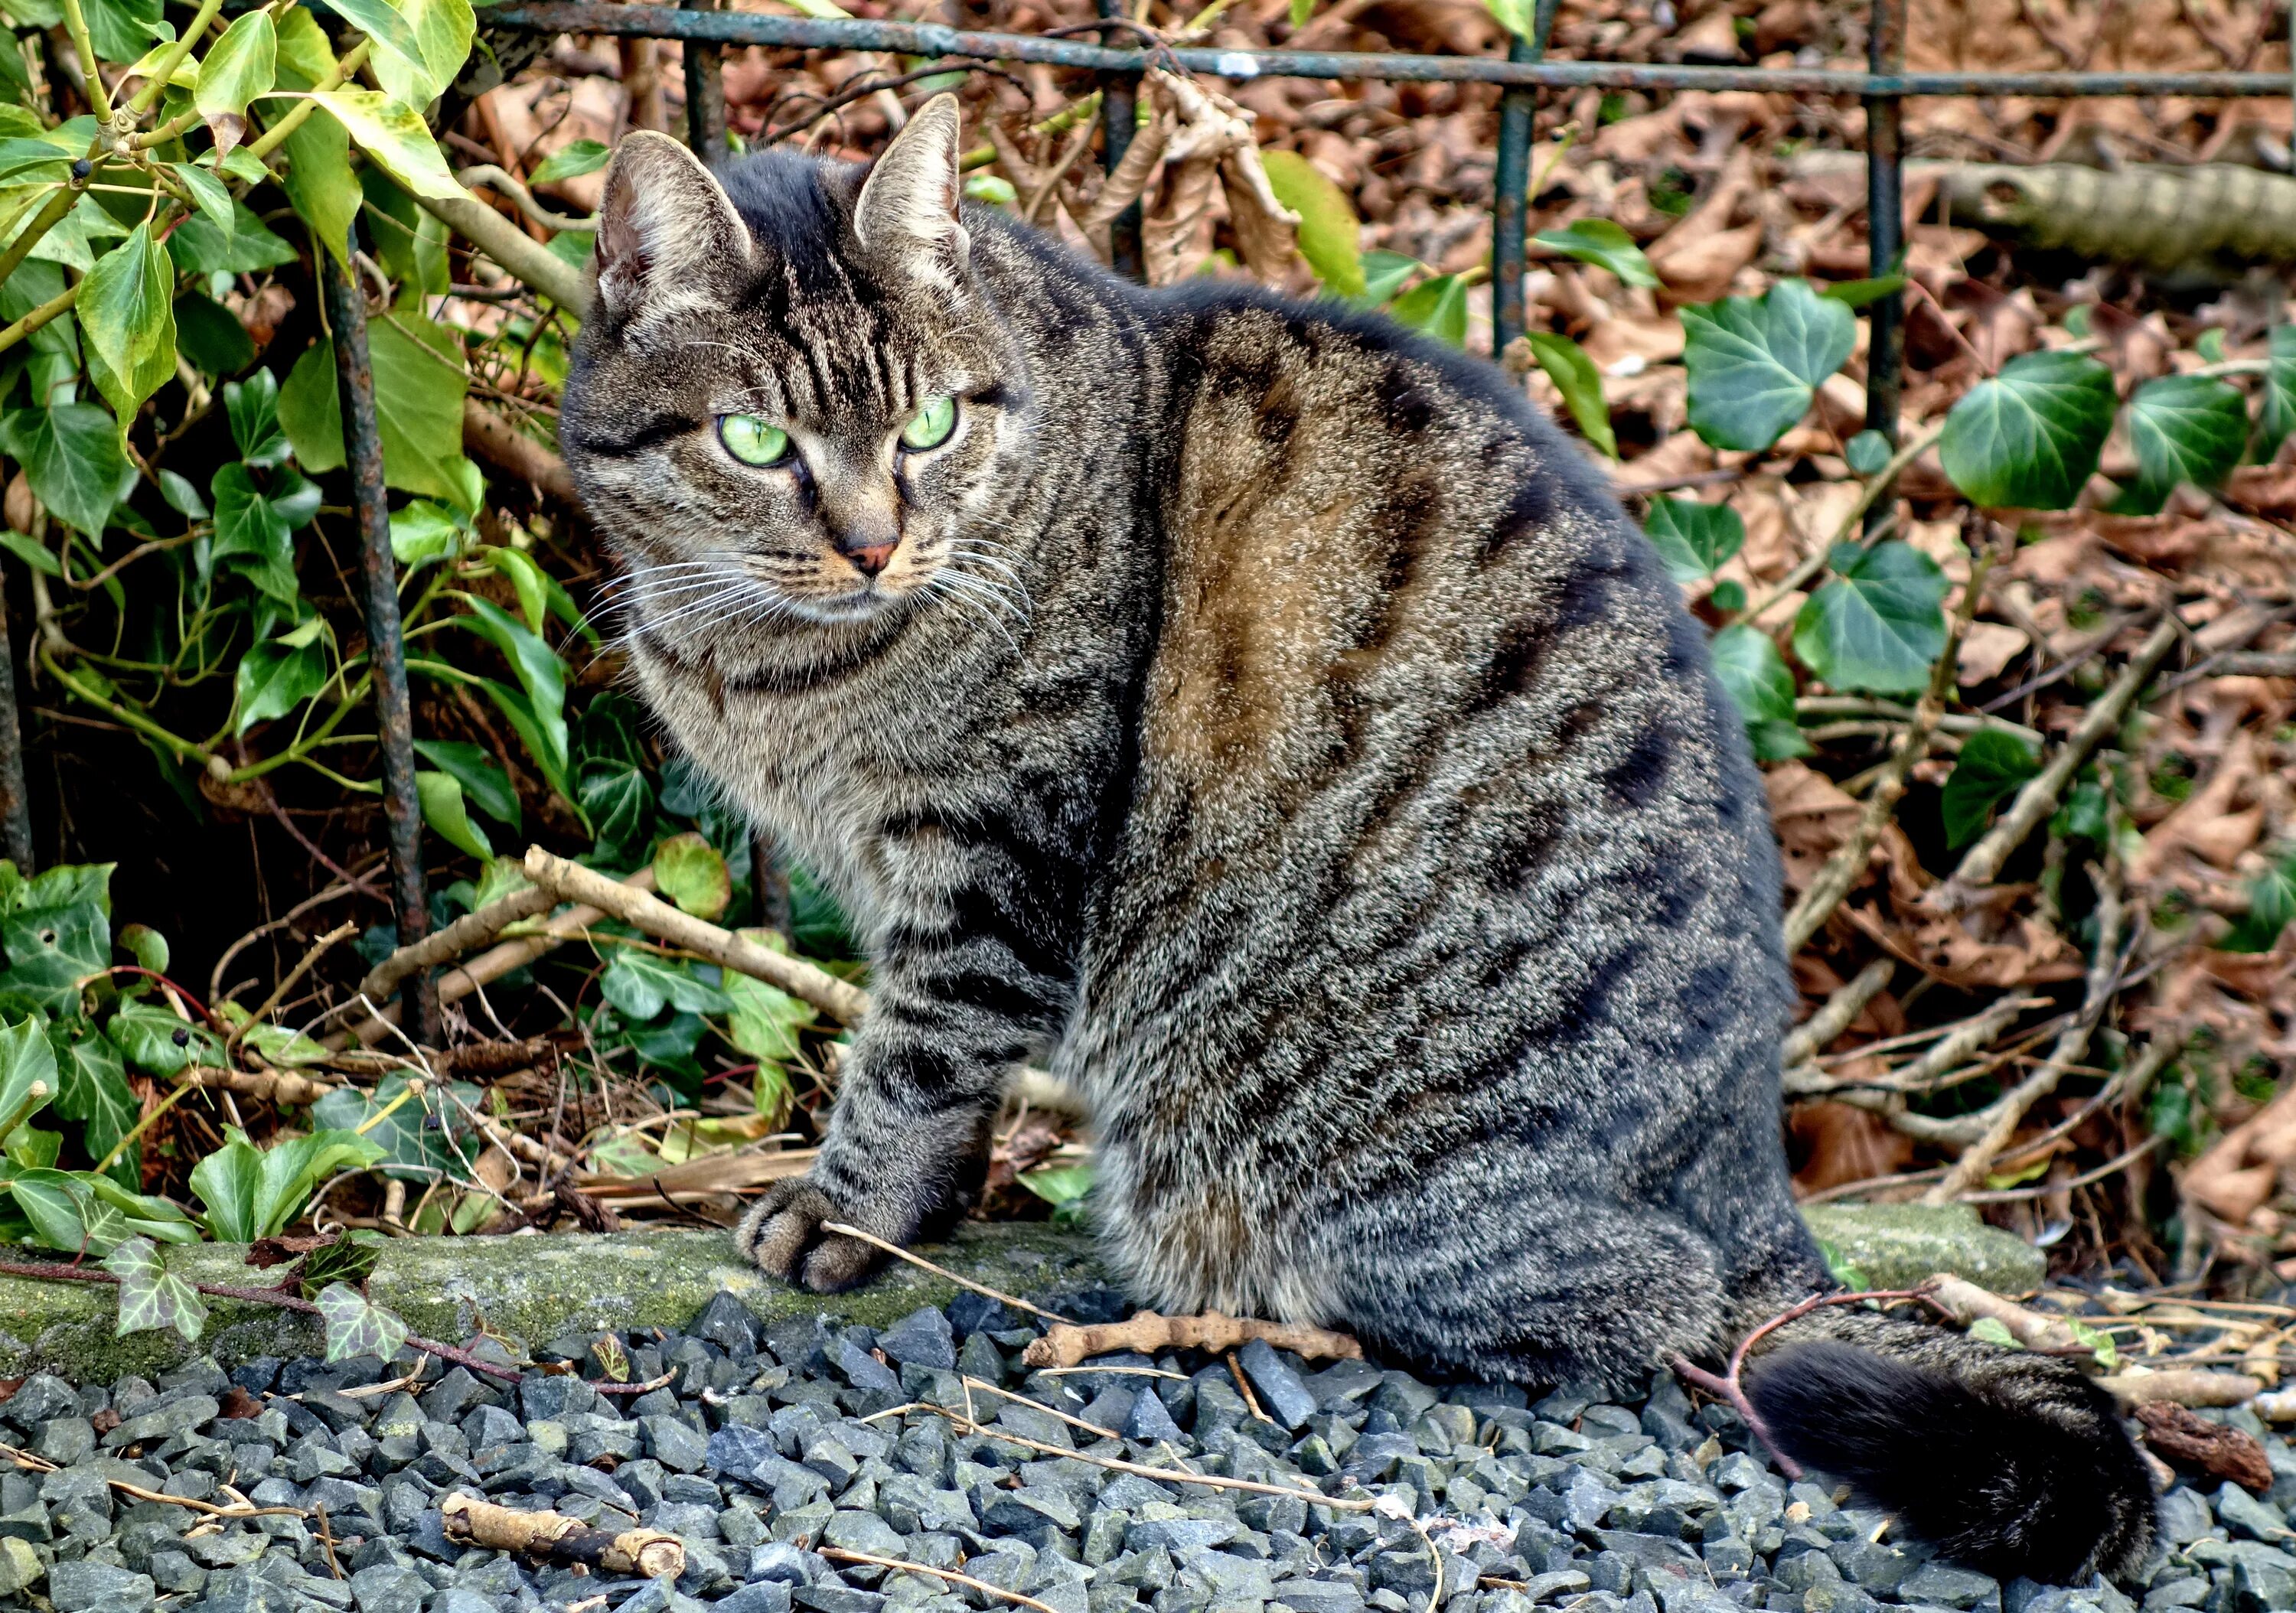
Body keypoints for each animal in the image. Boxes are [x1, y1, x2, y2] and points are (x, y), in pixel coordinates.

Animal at [556, 97, 2149, 1579]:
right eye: (759, 441)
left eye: (929, 427)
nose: (878, 542)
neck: (772, 663)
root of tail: (1751, 1153)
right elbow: (947, 1072)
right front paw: (924, 1206)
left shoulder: (997, 852)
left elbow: (918, 1057)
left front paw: (853, 1212)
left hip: (1304, 1142)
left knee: (1654, 1297)